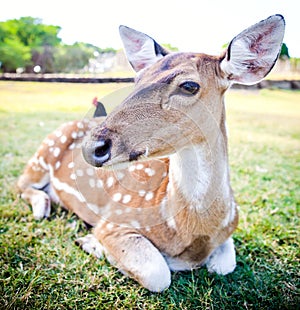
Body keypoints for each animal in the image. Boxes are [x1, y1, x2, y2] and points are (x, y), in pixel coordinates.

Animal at [18, 14, 286, 290]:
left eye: (189, 85)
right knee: (21, 185)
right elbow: (157, 273)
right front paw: (91, 243)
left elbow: (224, 265)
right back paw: (42, 207)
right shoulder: (116, 219)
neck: (189, 232)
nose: (93, 147)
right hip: (41, 156)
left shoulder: (230, 228)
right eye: (137, 80)